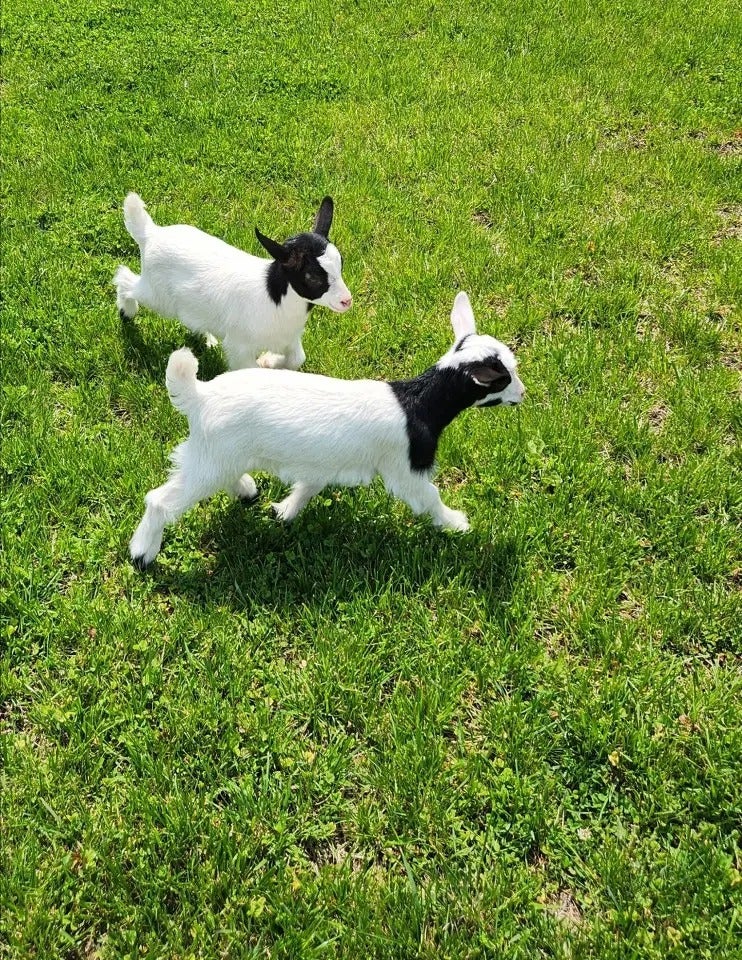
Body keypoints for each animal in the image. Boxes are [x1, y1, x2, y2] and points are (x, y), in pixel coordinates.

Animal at [114, 193, 352, 371]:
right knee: (125, 279)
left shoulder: (290, 339)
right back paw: (127, 312)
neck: (273, 297)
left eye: (341, 264)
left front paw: (269, 361)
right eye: (312, 276)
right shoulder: (240, 346)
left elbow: (297, 359)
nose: (346, 301)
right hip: (157, 295)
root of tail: (151, 234)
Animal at [129, 292, 525, 568]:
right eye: (504, 377)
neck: (419, 402)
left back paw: (244, 489)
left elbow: (308, 487)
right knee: (160, 499)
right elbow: (429, 498)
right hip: (213, 458)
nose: (523, 394)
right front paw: (456, 523)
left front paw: (285, 511)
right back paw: (142, 552)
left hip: (218, 454)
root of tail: (200, 395)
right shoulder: (406, 468)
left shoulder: (323, 464)